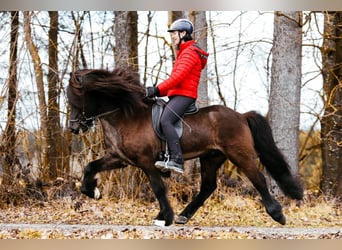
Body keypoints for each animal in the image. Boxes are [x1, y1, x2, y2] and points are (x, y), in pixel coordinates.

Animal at [68, 67, 304, 226]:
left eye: (75, 100)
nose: (73, 128)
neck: (126, 115)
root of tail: (241, 116)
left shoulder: (146, 161)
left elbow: (158, 188)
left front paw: (166, 217)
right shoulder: (120, 158)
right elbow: (90, 166)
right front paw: (93, 192)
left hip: (239, 154)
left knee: (258, 179)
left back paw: (277, 214)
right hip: (211, 157)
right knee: (208, 186)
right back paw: (184, 215)